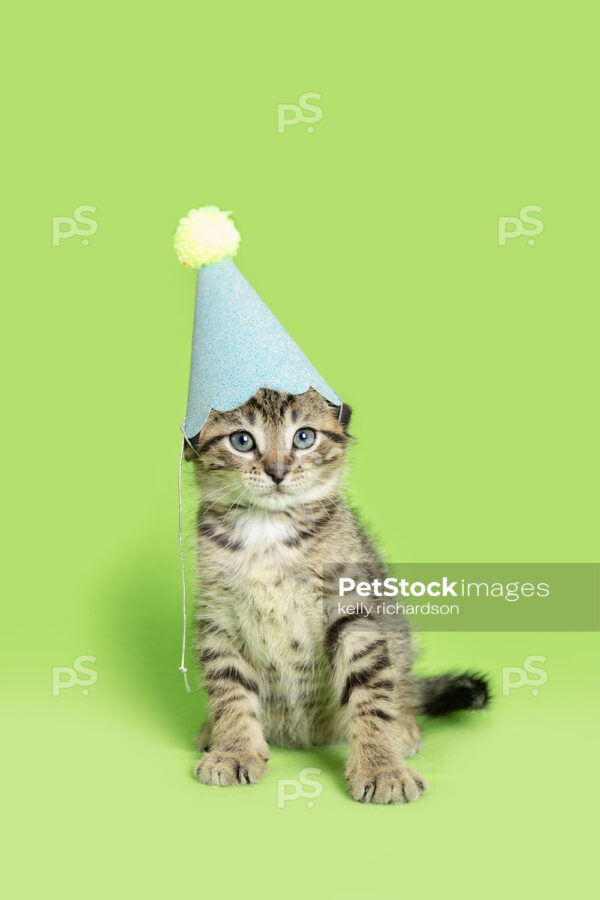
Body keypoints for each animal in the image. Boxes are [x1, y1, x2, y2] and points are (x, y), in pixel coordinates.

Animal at [188, 390, 488, 804]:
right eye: (242, 441)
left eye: (304, 437)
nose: (277, 471)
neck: (268, 532)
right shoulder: (219, 617)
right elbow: (229, 691)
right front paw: (233, 750)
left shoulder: (352, 611)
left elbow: (370, 696)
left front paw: (382, 767)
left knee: (401, 686)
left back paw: (403, 727)